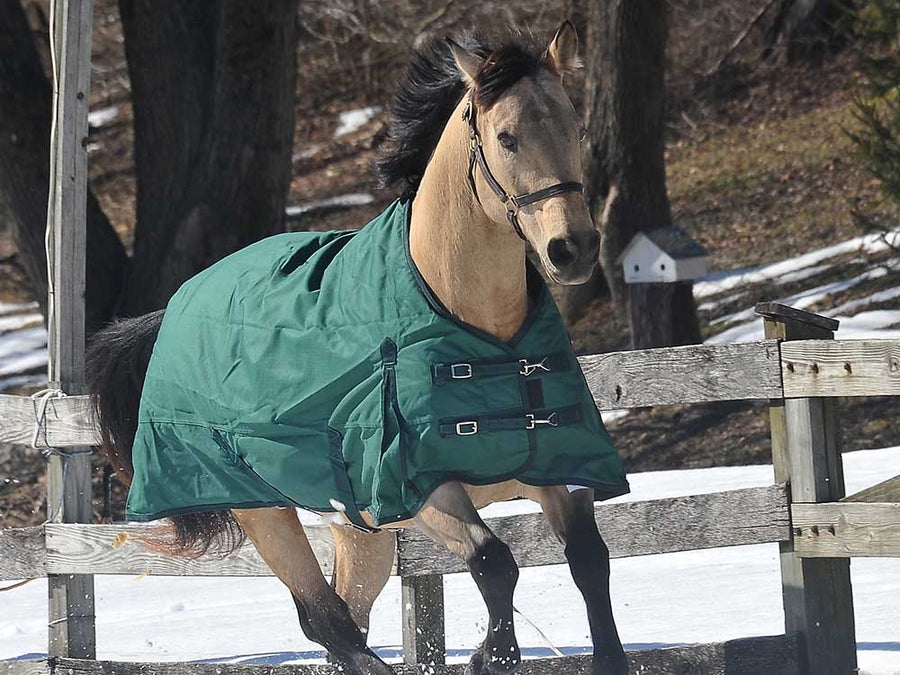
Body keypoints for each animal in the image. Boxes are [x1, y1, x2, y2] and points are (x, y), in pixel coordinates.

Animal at [88, 22, 628, 675]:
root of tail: (179, 301)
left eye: (577, 127)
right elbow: (494, 562)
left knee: (348, 617)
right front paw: (491, 654)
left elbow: (590, 561)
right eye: (507, 137)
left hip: (358, 530)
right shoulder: (420, 491)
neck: (474, 325)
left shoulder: (555, 470)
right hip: (265, 513)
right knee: (326, 621)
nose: (572, 249)